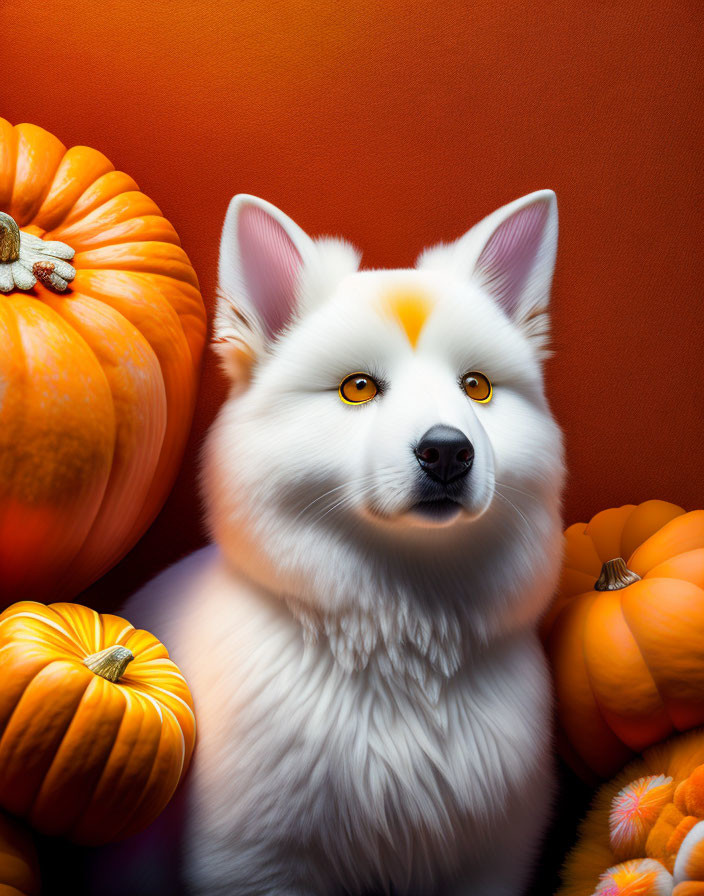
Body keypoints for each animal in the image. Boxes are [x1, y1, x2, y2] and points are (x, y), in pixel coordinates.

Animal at [121, 191, 568, 896]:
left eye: (476, 387)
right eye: (357, 388)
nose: (448, 451)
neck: (403, 644)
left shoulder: (491, 858)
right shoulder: (257, 864)